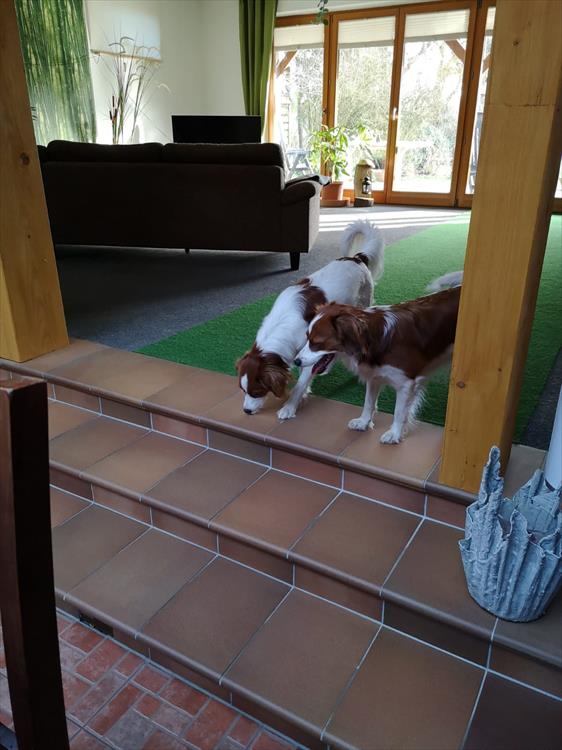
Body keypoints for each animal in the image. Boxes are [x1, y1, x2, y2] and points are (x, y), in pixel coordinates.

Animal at [236, 221, 385, 418]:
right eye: (243, 390)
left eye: (256, 392)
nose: (246, 411)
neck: (280, 324)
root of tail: (356, 258)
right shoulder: (303, 353)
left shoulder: (309, 348)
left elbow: (300, 382)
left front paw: (289, 407)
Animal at [295, 272, 463, 443]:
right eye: (307, 337)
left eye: (317, 342)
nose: (296, 361)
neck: (378, 340)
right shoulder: (374, 376)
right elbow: (368, 403)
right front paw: (364, 422)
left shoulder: (407, 383)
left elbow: (399, 411)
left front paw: (394, 433)